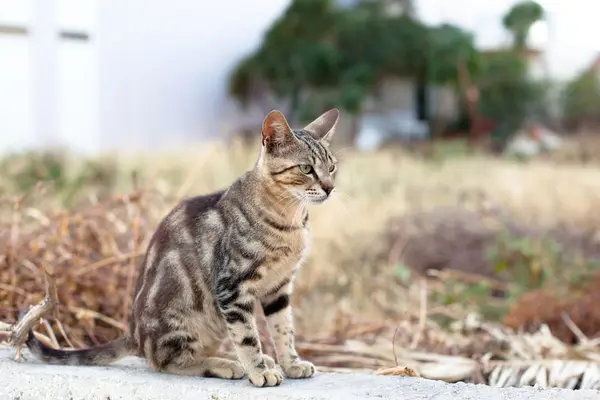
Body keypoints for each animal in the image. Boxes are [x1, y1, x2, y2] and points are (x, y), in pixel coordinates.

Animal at [24, 107, 342, 388]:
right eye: (306, 169)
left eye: (332, 167)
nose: (329, 188)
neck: (290, 221)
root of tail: (134, 335)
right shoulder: (233, 288)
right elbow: (247, 336)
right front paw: (259, 371)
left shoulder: (280, 287)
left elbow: (283, 329)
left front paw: (290, 363)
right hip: (184, 321)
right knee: (166, 361)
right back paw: (228, 364)